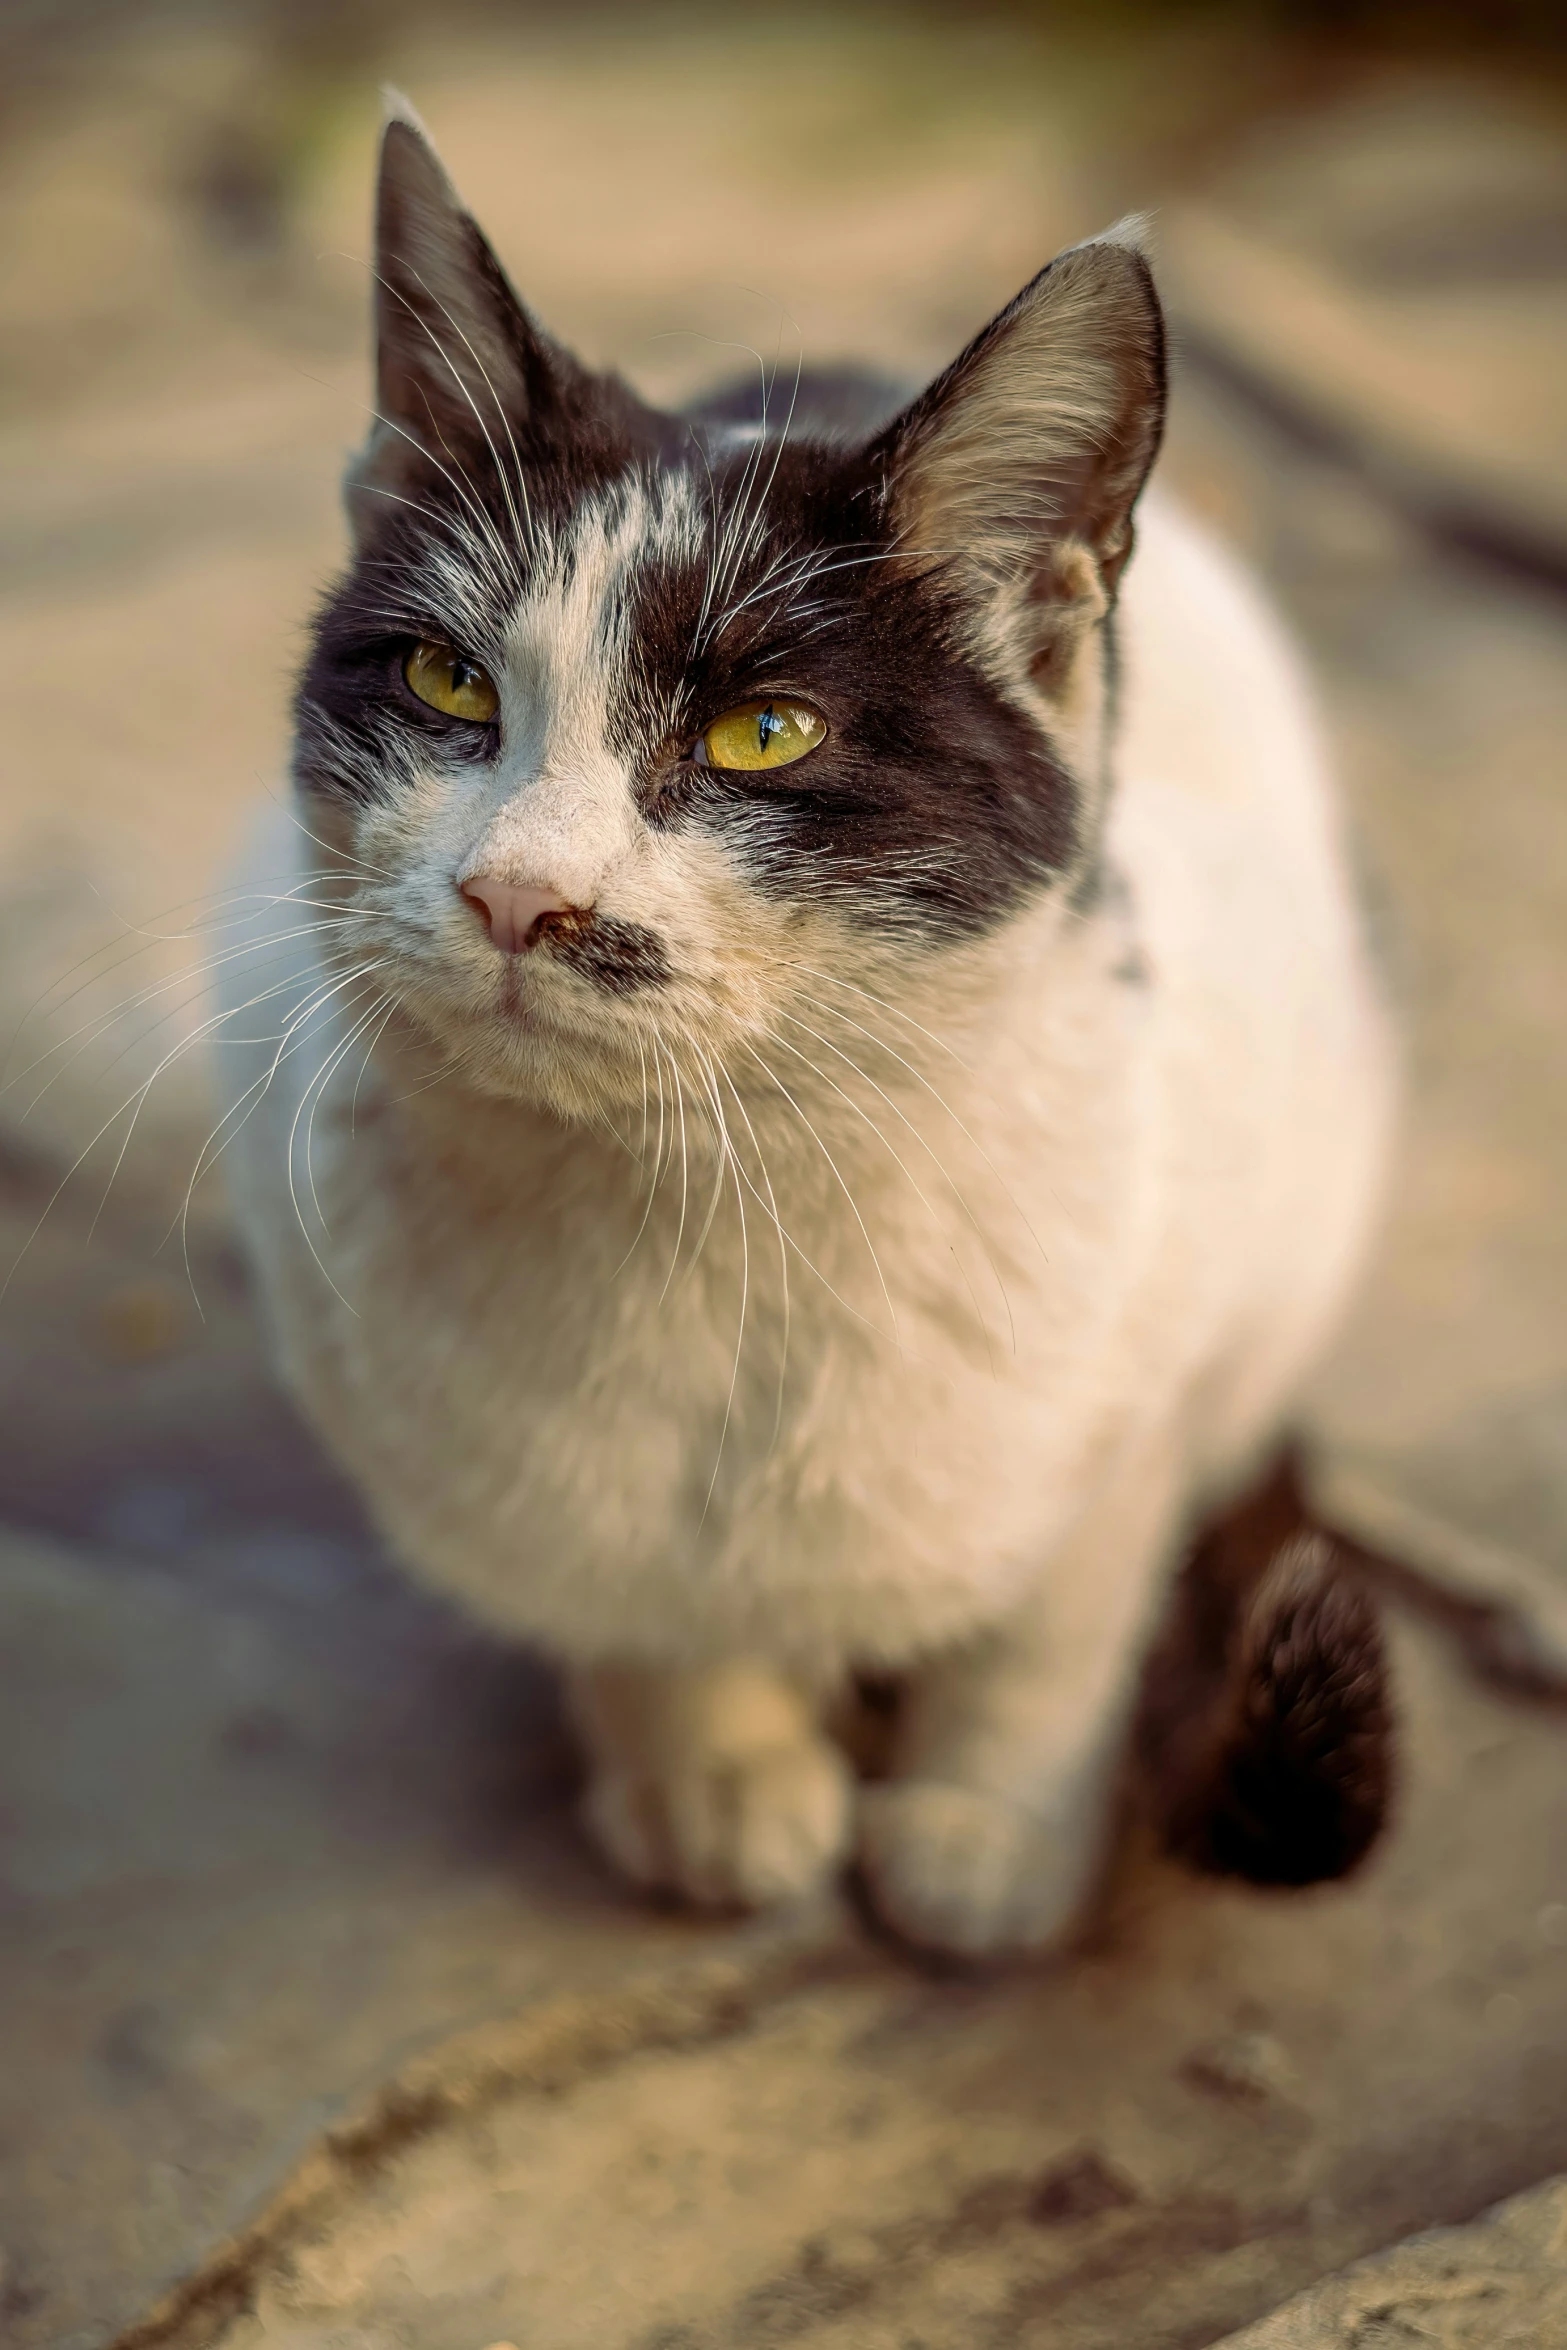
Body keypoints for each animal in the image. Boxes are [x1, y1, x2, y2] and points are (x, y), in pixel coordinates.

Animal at [211, 101, 1400, 1955]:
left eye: (763, 732)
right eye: (447, 684)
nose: (516, 894)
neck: (696, 1213)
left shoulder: (1162, 1314)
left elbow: (1065, 1598)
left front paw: (988, 1825)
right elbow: (618, 1584)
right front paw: (713, 1770)